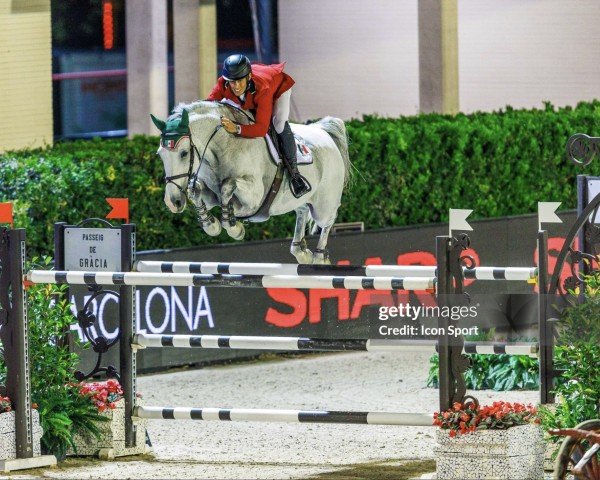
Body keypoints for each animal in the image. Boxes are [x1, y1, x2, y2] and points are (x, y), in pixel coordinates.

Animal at [150, 101, 354, 264]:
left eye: (184, 153)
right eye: (160, 154)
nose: (173, 202)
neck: (223, 147)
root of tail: (324, 132)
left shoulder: (254, 197)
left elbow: (227, 186)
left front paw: (235, 228)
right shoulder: (210, 195)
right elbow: (197, 191)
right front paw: (212, 224)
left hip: (323, 205)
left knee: (327, 220)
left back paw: (319, 258)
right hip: (296, 199)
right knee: (302, 210)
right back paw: (301, 251)